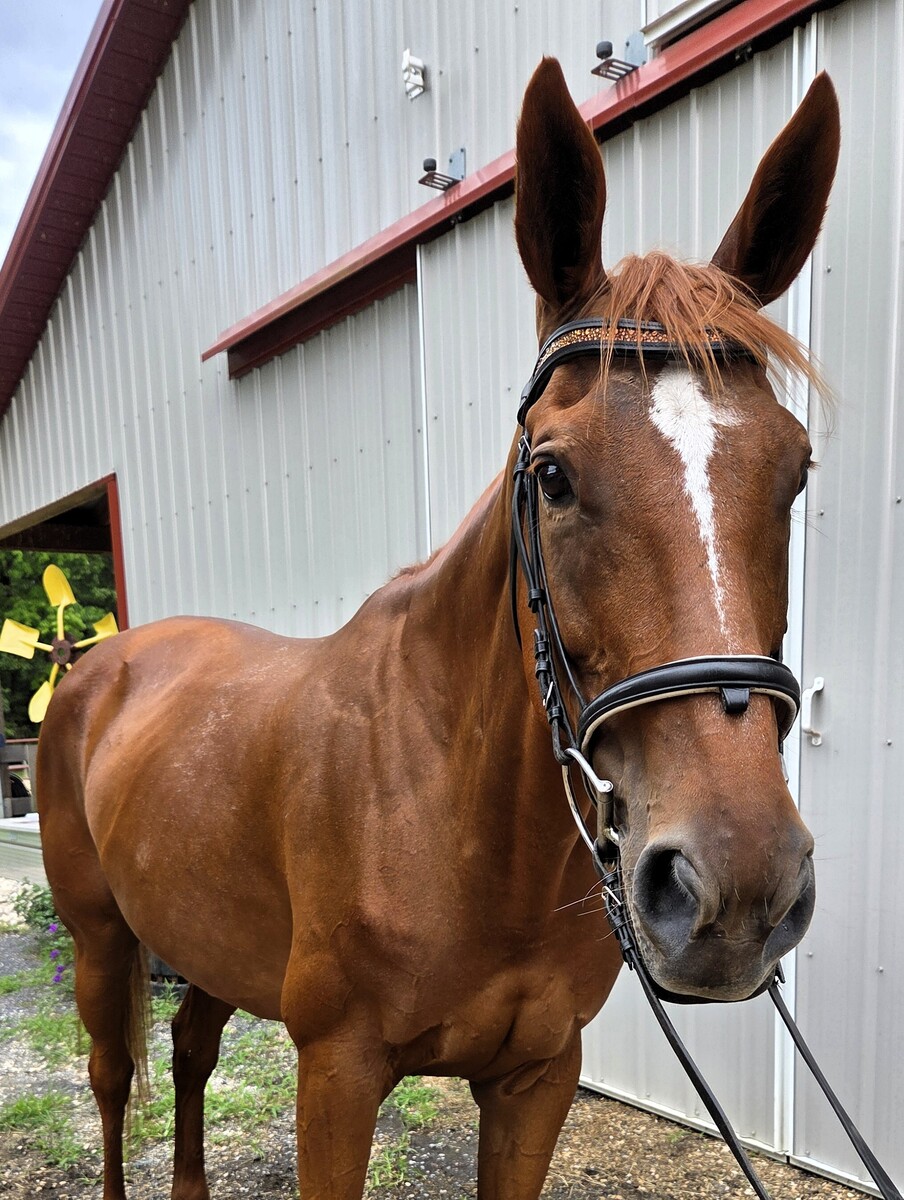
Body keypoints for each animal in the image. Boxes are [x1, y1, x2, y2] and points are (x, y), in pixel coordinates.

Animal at [37, 58, 839, 1200]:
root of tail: (97, 666)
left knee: (189, 1047)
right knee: (113, 1081)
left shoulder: (537, 1078)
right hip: (103, 940)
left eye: (794, 469)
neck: (452, 808)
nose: (736, 885)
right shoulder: (336, 1073)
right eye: (551, 475)